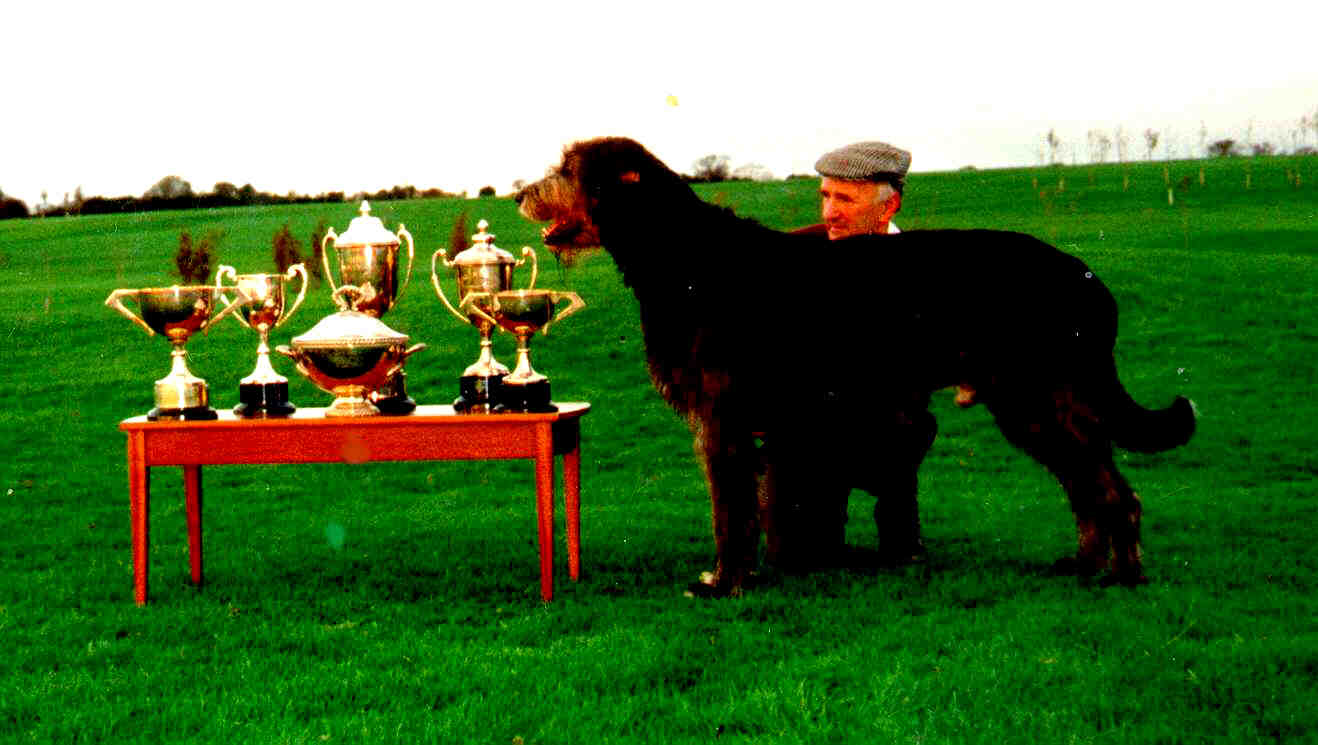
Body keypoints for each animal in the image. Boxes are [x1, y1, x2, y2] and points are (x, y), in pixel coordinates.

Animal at [514, 136, 1196, 596]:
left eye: (569, 168)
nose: (521, 193)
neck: (683, 257)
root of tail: (1085, 276)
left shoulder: (722, 413)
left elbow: (729, 506)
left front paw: (725, 580)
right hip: (1040, 400)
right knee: (1088, 482)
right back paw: (1085, 564)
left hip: (1035, 394)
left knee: (1109, 488)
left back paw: (1122, 574)